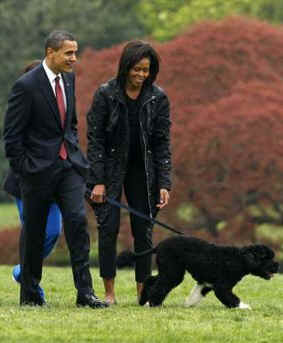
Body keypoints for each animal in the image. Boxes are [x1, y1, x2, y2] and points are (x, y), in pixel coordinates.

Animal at [118, 236, 280, 310]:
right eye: (267, 258)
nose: (277, 266)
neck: (239, 259)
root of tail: (159, 245)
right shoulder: (222, 287)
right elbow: (231, 298)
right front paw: (243, 307)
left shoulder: (206, 283)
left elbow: (196, 295)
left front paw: (188, 304)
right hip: (173, 272)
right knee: (159, 287)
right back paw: (154, 303)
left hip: (170, 270)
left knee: (150, 280)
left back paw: (143, 301)